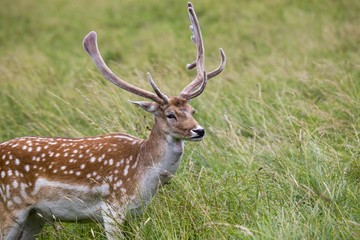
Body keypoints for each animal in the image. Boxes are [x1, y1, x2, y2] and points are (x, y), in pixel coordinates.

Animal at [0, 2, 225, 240]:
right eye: (170, 114)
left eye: (192, 110)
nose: (199, 130)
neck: (142, 175)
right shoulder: (112, 207)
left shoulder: (135, 212)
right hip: (10, 206)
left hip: (35, 217)